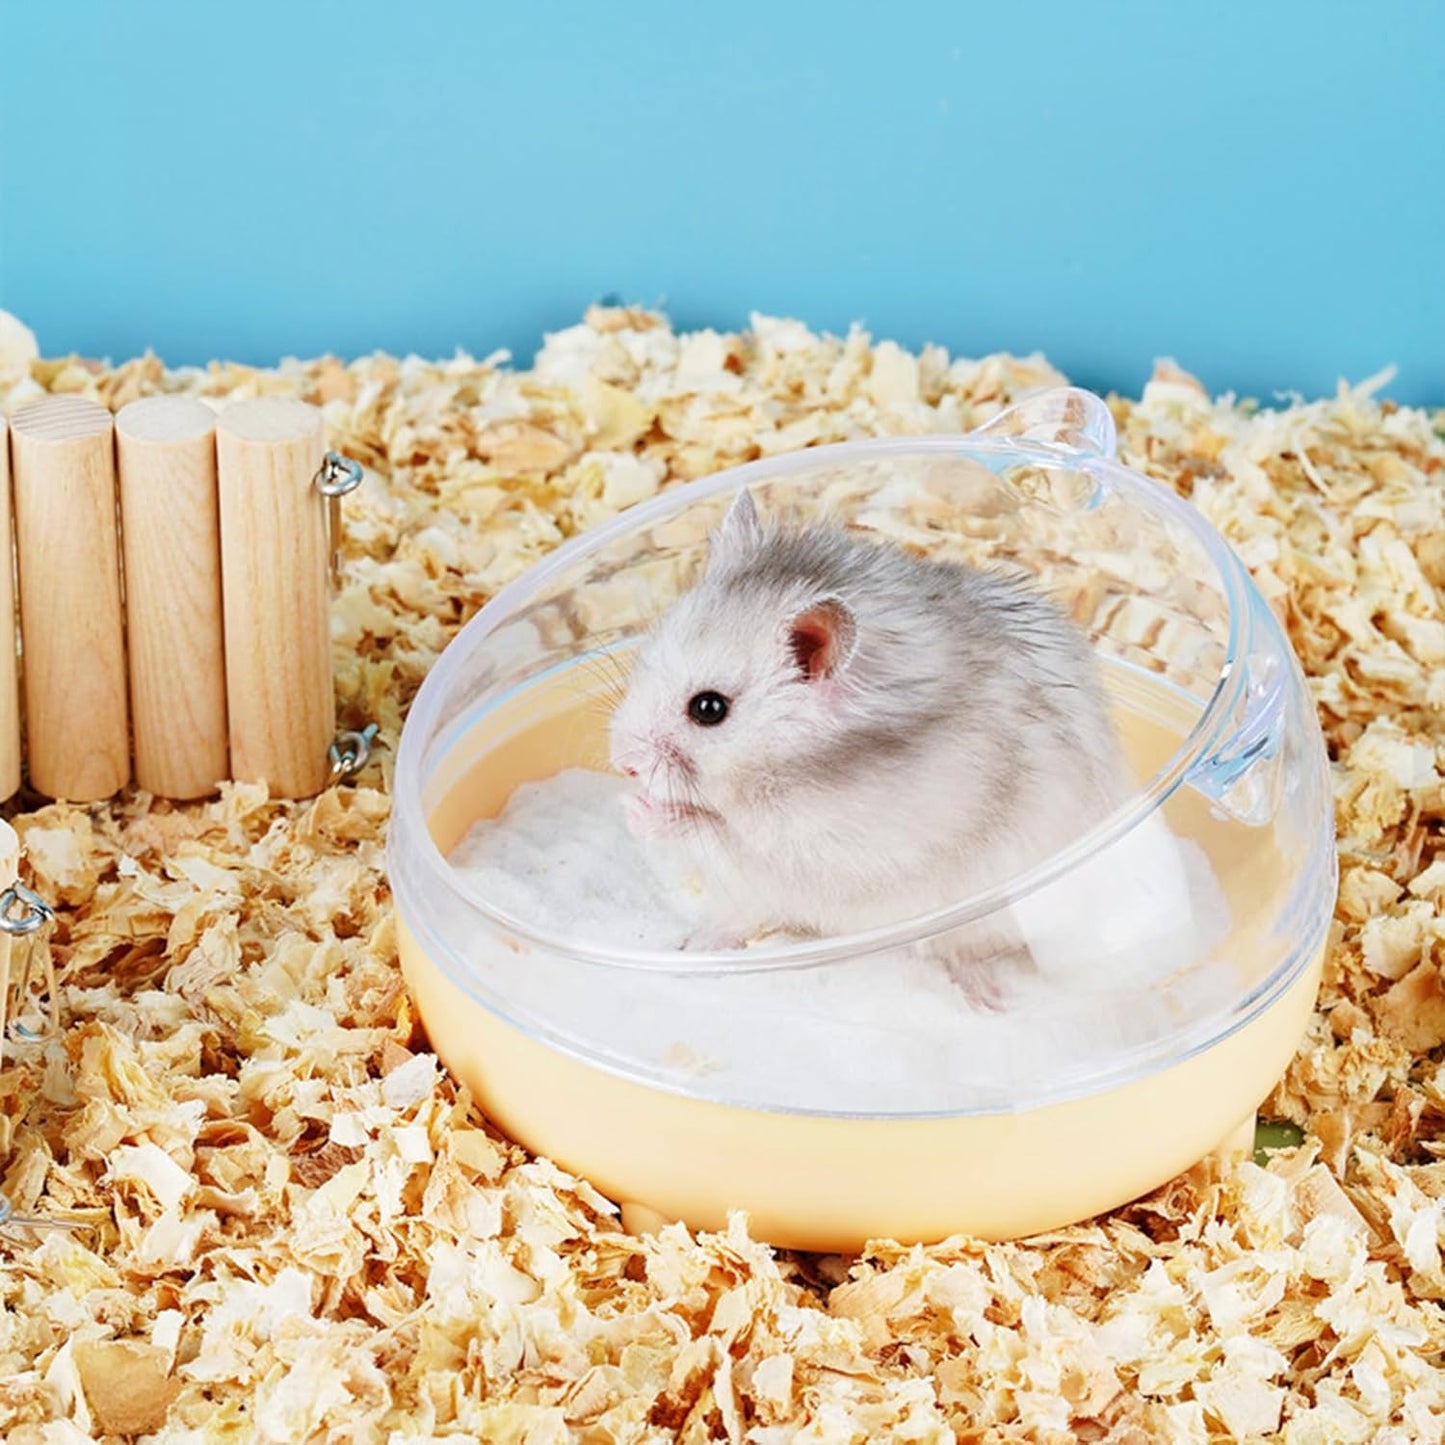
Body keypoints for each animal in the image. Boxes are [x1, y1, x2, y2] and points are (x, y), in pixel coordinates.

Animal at [607, 487, 1135, 1004]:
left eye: (709, 709)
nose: (622, 763)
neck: (796, 766)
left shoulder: (832, 850)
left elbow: (724, 834)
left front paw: (638, 809)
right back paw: (691, 946)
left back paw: (990, 1001)